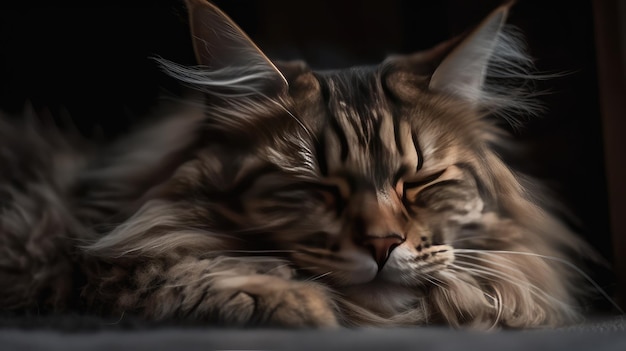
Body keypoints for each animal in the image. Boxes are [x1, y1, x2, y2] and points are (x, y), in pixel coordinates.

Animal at [0, 0, 600, 330]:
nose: (383, 244)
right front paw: (294, 304)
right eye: (317, 187)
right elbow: (169, 269)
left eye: (420, 182)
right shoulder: (94, 261)